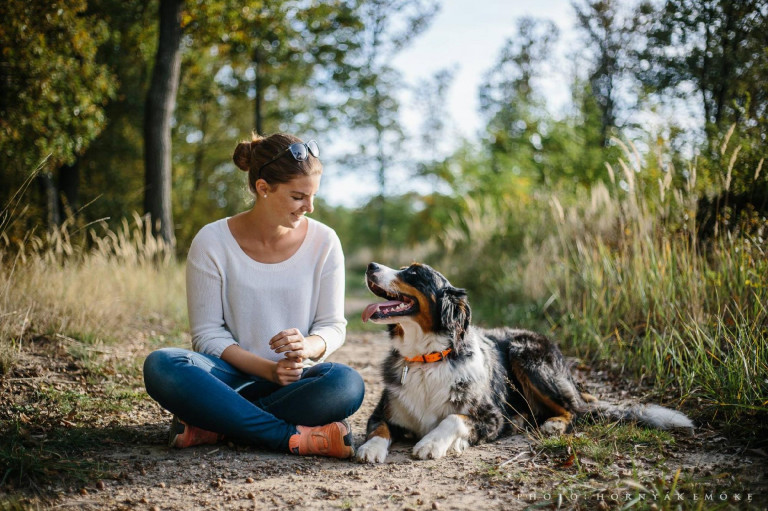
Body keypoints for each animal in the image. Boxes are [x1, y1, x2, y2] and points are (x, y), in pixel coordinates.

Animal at [356, 262, 692, 466]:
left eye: (413, 273)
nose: (371, 266)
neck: (426, 358)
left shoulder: (492, 418)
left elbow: (453, 418)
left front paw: (433, 443)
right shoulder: (384, 411)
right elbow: (378, 428)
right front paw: (370, 449)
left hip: (526, 355)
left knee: (575, 411)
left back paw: (553, 424)